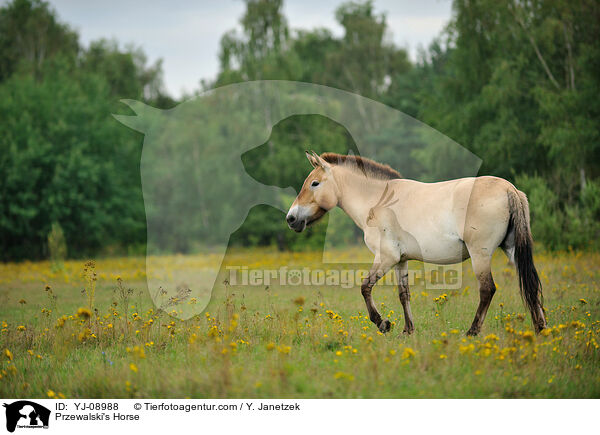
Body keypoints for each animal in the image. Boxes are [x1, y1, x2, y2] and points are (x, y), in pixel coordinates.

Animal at [288, 152, 548, 338]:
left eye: (314, 183)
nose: (291, 218)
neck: (377, 201)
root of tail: (509, 189)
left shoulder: (386, 257)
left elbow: (365, 287)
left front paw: (383, 324)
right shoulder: (400, 261)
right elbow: (404, 294)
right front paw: (408, 330)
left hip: (480, 255)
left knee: (487, 290)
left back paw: (472, 331)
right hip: (513, 250)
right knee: (531, 284)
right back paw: (541, 328)